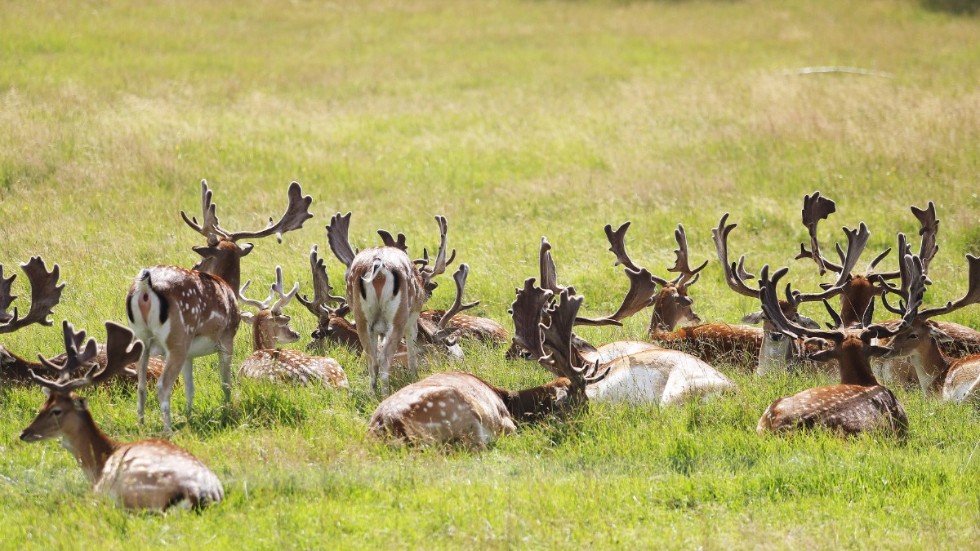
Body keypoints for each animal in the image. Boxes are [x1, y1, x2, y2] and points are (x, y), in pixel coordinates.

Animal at [126, 180, 310, 432]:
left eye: (206, 255)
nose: (196, 264)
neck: (229, 286)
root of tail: (145, 286)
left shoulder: (191, 354)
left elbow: (190, 389)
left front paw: (190, 416)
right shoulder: (227, 338)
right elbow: (226, 383)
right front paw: (227, 411)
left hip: (142, 338)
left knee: (142, 384)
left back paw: (142, 424)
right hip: (178, 337)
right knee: (162, 386)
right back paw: (168, 431)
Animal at [370, 284, 608, 448]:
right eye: (581, 402)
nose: (594, 422)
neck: (511, 403)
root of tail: (389, 426)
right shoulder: (507, 423)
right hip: (462, 416)